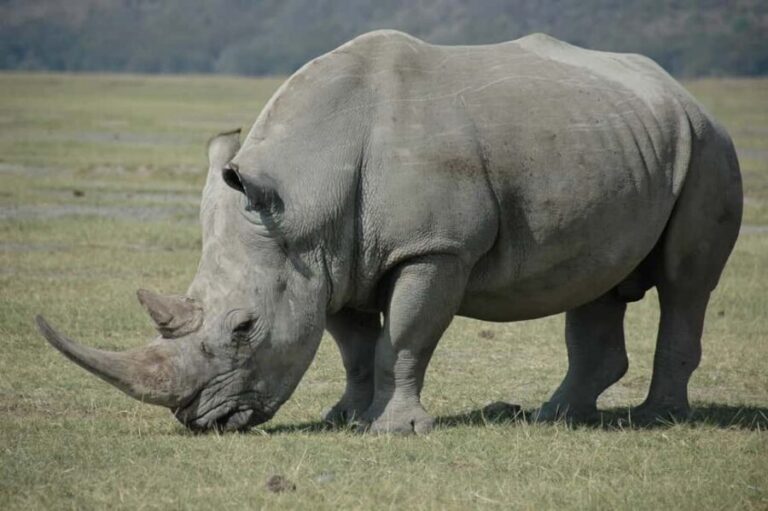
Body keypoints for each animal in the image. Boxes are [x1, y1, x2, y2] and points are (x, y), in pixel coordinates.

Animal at [37, 30, 742, 433]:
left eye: (243, 328)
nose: (199, 420)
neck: (304, 190)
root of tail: (681, 91)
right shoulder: (329, 258)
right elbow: (353, 346)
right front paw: (344, 418)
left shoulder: (433, 249)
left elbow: (402, 340)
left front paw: (395, 430)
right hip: (614, 139)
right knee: (596, 280)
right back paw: (558, 418)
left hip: (709, 145)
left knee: (686, 284)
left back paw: (659, 418)